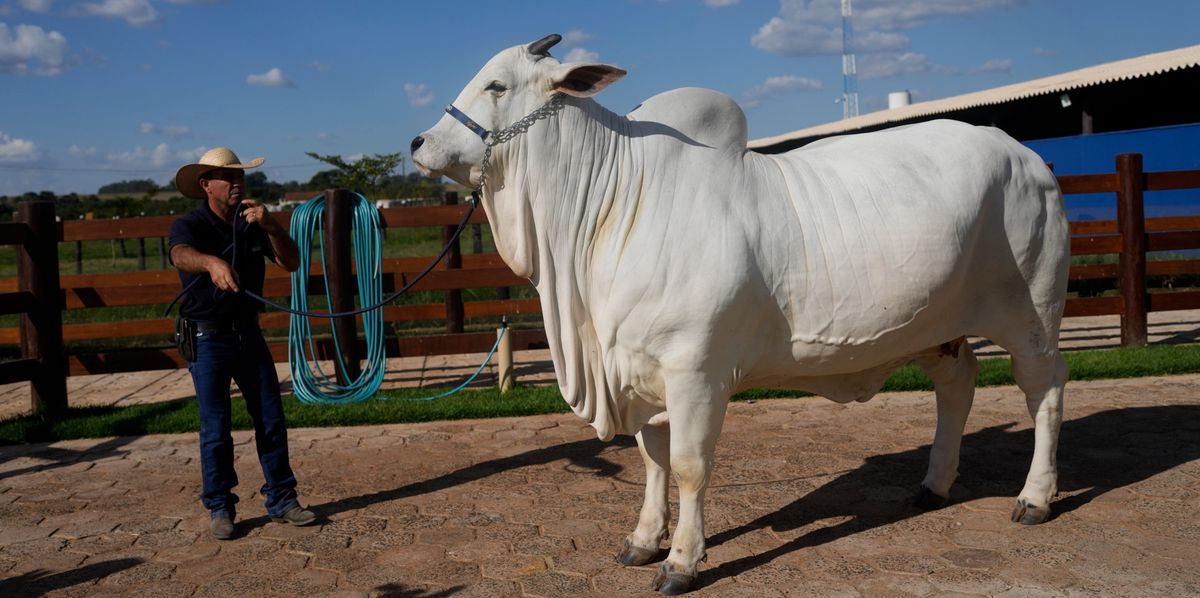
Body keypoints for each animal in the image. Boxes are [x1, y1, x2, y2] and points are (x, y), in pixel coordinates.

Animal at [412, 34, 1068, 594]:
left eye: (497, 85)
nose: (419, 143)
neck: (614, 206)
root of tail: (1027, 155)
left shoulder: (695, 372)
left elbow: (688, 467)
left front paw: (682, 560)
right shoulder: (642, 371)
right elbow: (651, 461)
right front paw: (643, 540)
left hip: (1031, 316)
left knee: (1044, 391)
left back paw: (1035, 498)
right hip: (941, 329)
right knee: (957, 385)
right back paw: (934, 484)